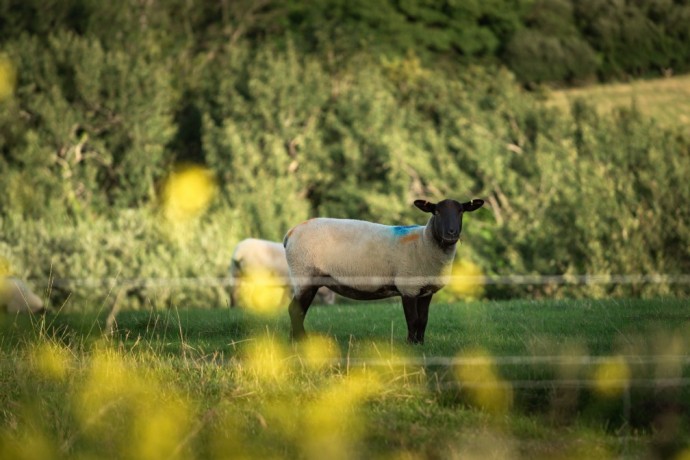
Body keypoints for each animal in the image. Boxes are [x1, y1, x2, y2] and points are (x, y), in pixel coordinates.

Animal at [282, 199, 482, 344]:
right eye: (437, 212)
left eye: (461, 211)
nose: (451, 233)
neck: (424, 243)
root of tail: (290, 233)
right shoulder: (408, 287)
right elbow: (413, 319)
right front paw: (411, 345)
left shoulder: (426, 290)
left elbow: (423, 319)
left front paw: (421, 344)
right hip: (303, 273)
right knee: (295, 310)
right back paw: (301, 340)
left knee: (298, 310)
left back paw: (295, 340)